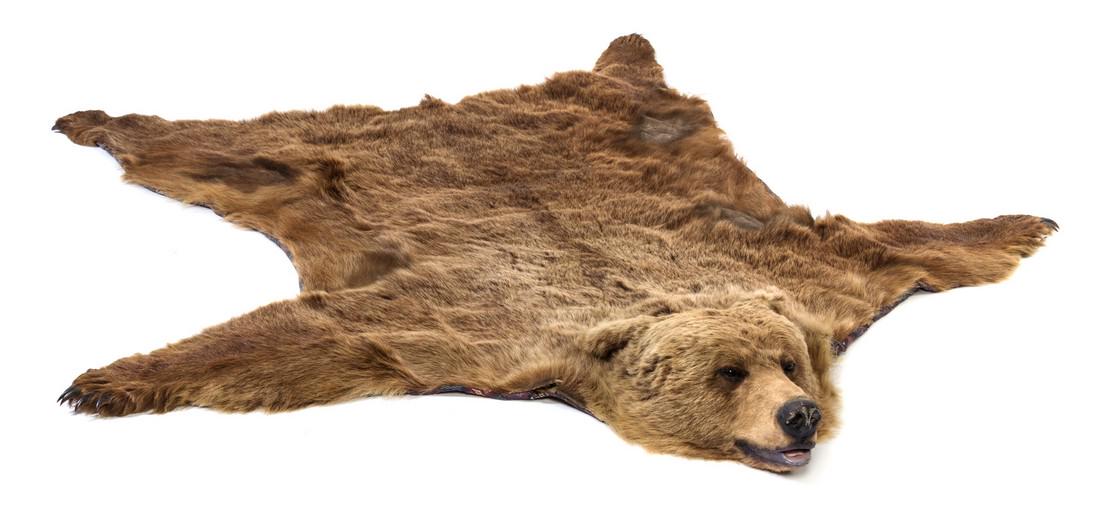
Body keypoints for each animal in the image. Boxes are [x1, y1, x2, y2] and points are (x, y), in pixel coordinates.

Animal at [52, 34, 1055, 472]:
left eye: (786, 362)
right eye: (728, 372)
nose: (801, 413)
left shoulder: (819, 279)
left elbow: (895, 246)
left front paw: (1025, 222)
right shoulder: (471, 334)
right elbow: (302, 336)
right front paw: (103, 379)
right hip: (325, 157)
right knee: (224, 146)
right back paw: (89, 118)